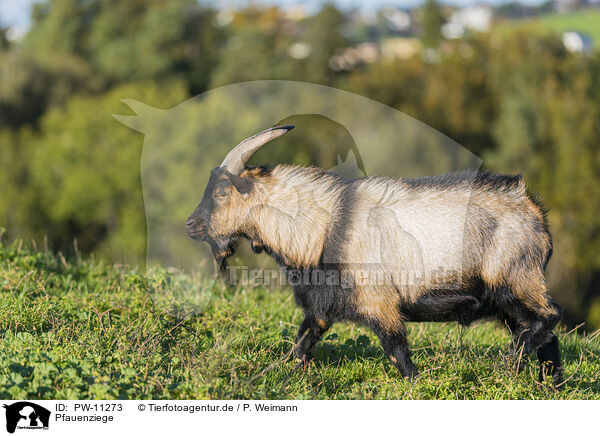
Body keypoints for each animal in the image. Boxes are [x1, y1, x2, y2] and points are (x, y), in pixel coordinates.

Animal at [186, 124, 564, 386]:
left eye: (220, 192)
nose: (191, 226)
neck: (329, 224)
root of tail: (534, 210)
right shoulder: (322, 306)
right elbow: (302, 344)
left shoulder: (379, 303)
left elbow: (398, 353)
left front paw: (417, 386)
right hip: (506, 298)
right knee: (546, 336)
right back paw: (550, 386)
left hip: (515, 280)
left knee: (548, 318)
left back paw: (510, 364)